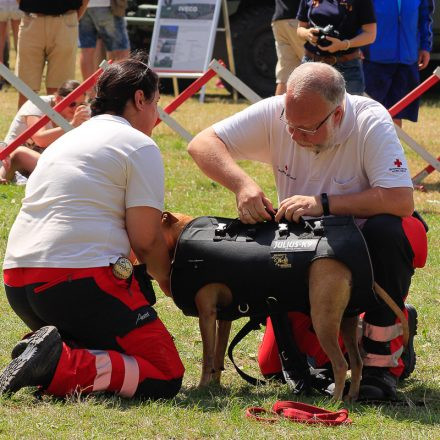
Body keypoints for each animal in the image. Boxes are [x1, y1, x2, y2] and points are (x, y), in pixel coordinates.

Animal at [159, 211, 410, 400]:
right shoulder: (223, 316)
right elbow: (219, 355)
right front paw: (215, 384)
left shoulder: (207, 315)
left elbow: (207, 356)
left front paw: (203, 386)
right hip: (347, 320)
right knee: (356, 363)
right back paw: (351, 397)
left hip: (323, 321)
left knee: (340, 364)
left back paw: (335, 403)